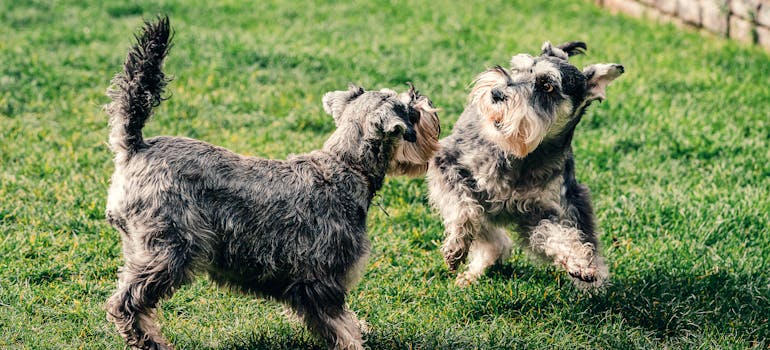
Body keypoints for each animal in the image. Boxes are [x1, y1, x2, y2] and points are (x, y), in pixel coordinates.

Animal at [103, 17, 438, 350]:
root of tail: (136, 147)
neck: (346, 166)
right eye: (409, 110)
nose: (422, 98)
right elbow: (341, 327)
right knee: (127, 303)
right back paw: (152, 341)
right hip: (169, 252)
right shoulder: (320, 282)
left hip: (142, 249)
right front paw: (355, 342)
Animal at [426, 41, 624, 290]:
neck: (523, 156)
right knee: (488, 234)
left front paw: (580, 262)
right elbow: (464, 209)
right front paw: (456, 247)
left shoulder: (545, 211)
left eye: (547, 86)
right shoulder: (446, 163)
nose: (496, 93)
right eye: (518, 69)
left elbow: (555, 233)